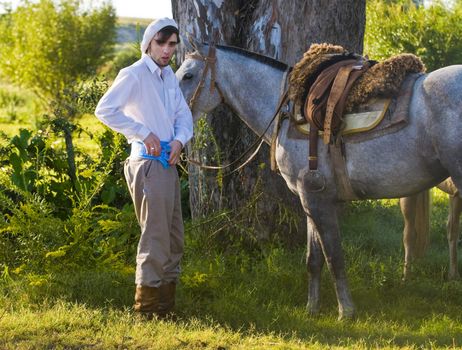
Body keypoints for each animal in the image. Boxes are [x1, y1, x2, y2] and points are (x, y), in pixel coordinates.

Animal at [176, 37, 462, 318]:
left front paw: (346, 311)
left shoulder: (316, 199)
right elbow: (314, 260)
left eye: (188, 76)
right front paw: (312, 309)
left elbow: (334, 256)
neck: (288, 111)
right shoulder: (311, 199)